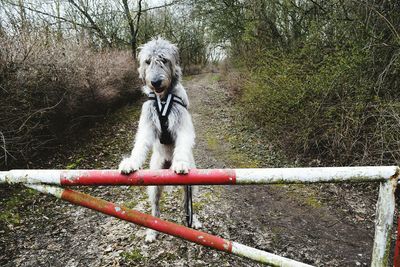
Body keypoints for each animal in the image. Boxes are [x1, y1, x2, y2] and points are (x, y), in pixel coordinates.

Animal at [118, 37, 200, 243]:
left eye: (164, 60)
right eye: (148, 61)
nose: (155, 82)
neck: (162, 99)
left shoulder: (182, 124)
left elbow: (183, 142)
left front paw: (180, 162)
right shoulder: (147, 123)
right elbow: (140, 144)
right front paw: (131, 162)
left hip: (192, 184)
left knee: (188, 203)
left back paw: (193, 220)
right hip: (154, 181)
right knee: (155, 208)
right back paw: (152, 230)